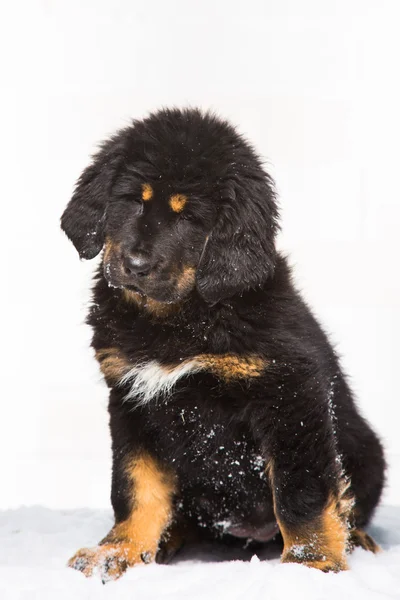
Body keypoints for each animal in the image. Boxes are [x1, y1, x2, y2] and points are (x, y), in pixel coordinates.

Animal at [61, 106, 384, 580]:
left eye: (188, 218)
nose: (135, 265)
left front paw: (311, 561)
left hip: (367, 451)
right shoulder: (131, 400)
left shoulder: (290, 393)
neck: (182, 319)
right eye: (134, 200)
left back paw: (355, 539)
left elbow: (300, 490)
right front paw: (119, 551)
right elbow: (136, 486)